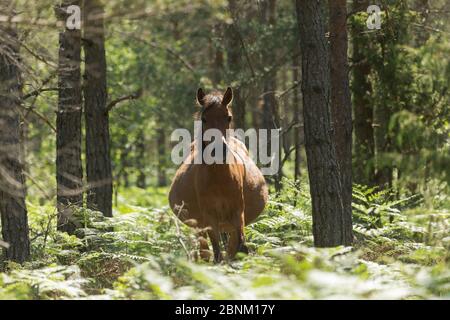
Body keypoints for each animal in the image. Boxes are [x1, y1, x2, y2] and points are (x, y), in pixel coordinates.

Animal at [168, 87, 268, 262]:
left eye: (228, 117)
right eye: (204, 119)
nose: (218, 150)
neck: (219, 179)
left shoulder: (238, 214)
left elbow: (240, 248)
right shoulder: (209, 218)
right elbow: (217, 253)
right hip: (200, 226)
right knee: (205, 252)